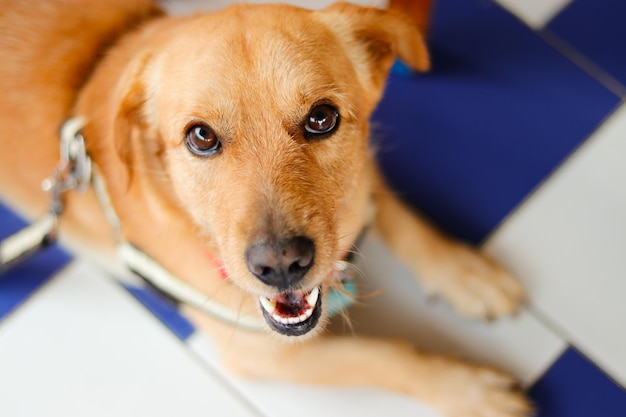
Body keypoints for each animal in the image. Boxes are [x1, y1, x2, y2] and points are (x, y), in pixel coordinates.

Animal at [0, 1, 532, 414]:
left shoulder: (364, 170)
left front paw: (464, 273)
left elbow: (398, 214)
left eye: (322, 118)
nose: (280, 265)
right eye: (200, 136)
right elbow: (385, 355)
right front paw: (468, 389)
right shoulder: (266, 353)